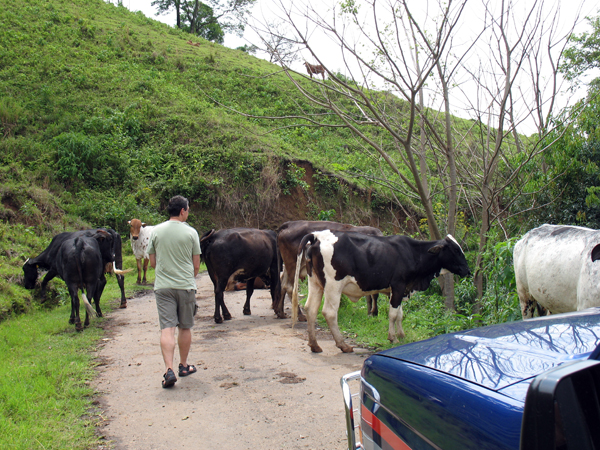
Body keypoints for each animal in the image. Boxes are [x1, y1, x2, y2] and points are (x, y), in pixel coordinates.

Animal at [292, 230, 472, 354]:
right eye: (456, 251)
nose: (468, 270)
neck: (414, 253)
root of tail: (318, 235)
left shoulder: (400, 289)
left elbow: (399, 314)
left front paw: (401, 335)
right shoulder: (398, 286)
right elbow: (392, 314)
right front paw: (392, 337)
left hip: (315, 282)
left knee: (311, 309)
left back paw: (314, 345)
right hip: (333, 285)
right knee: (329, 312)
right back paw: (343, 345)